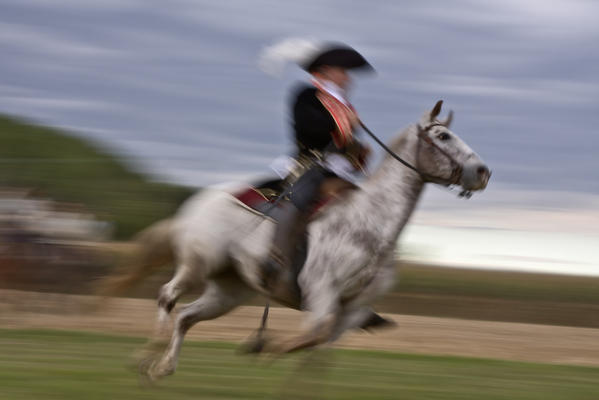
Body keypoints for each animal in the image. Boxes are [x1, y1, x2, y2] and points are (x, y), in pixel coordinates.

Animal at [101, 98, 490, 380]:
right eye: (443, 137)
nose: (483, 172)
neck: (370, 225)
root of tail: (200, 200)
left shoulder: (353, 310)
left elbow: (318, 354)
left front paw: (272, 350)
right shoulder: (321, 294)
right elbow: (313, 336)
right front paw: (266, 346)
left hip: (229, 290)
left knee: (185, 316)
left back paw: (163, 366)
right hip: (197, 265)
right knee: (167, 297)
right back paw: (147, 355)